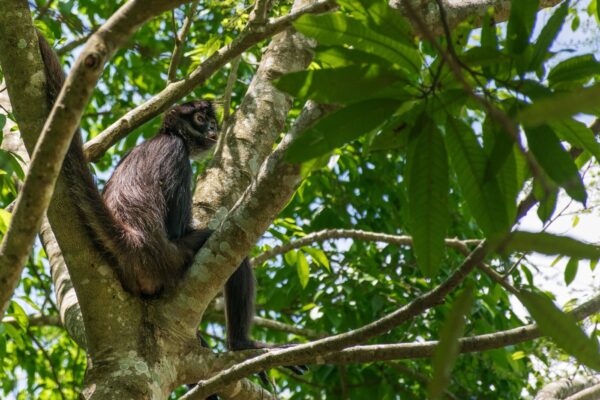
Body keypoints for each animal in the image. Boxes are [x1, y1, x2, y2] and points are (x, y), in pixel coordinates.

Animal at [37, 32, 278, 356]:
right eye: (199, 119)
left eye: (210, 120)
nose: (212, 126)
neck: (167, 135)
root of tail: (133, 242)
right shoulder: (176, 153)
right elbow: (178, 228)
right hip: (169, 259)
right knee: (227, 249)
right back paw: (241, 344)